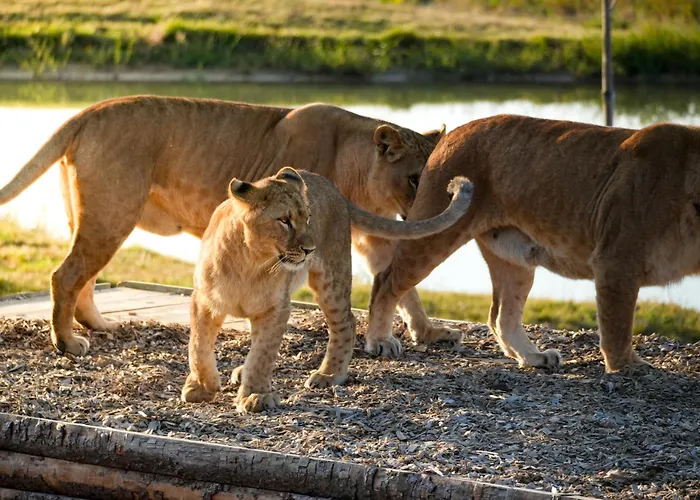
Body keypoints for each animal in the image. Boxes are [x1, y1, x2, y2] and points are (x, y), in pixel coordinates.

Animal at [0, 95, 452, 357]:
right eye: (415, 178)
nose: (433, 208)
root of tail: (86, 111)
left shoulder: (372, 234)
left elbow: (399, 283)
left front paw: (419, 333)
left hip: (94, 216)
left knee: (84, 277)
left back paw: (99, 325)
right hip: (112, 213)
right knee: (65, 275)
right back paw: (67, 343)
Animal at [181, 167, 473, 412]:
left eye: (308, 218)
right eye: (284, 220)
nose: (310, 249)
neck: (251, 261)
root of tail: (334, 189)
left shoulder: (278, 308)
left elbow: (263, 354)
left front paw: (256, 395)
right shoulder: (203, 301)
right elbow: (198, 347)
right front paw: (201, 387)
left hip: (331, 278)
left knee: (347, 323)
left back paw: (329, 375)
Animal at [367, 114, 700, 373]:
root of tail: (457, 131)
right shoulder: (615, 260)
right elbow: (617, 325)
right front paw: (628, 367)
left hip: (515, 257)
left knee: (501, 316)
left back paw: (534, 356)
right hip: (436, 231)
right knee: (386, 281)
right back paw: (380, 340)